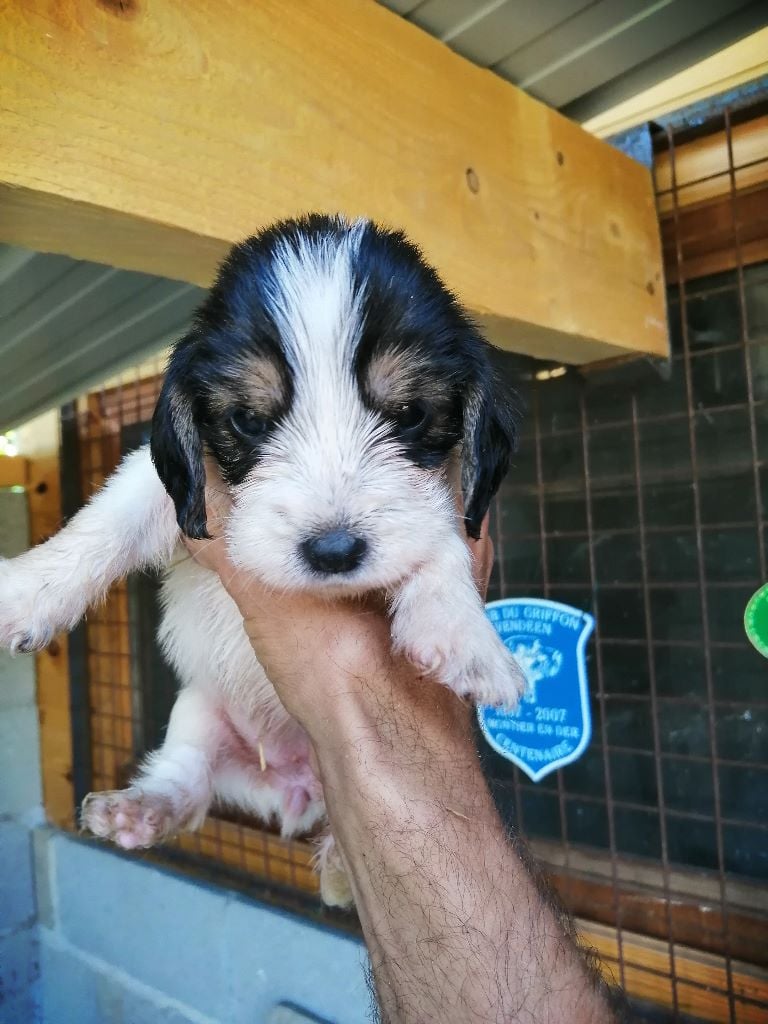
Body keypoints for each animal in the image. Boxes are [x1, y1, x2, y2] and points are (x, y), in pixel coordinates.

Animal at [0, 214, 524, 905]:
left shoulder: (451, 502)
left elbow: (439, 533)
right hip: (198, 708)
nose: (333, 551)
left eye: (410, 413)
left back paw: (337, 861)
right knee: (188, 779)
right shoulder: (164, 484)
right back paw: (142, 810)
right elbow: (109, 518)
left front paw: (464, 633)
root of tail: (291, 786)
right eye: (249, 419)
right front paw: (26, 592)